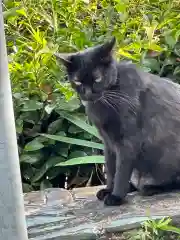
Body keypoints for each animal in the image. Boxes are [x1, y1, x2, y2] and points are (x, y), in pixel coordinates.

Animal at [56, 37, 180, 206]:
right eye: (78, 82)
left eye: (97, 79)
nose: (87, 94)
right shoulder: (108, 142)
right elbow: (110, 169)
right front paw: (109, 190)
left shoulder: (127, 141)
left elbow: (121, 171)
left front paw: (116, 196)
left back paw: (151, 187)